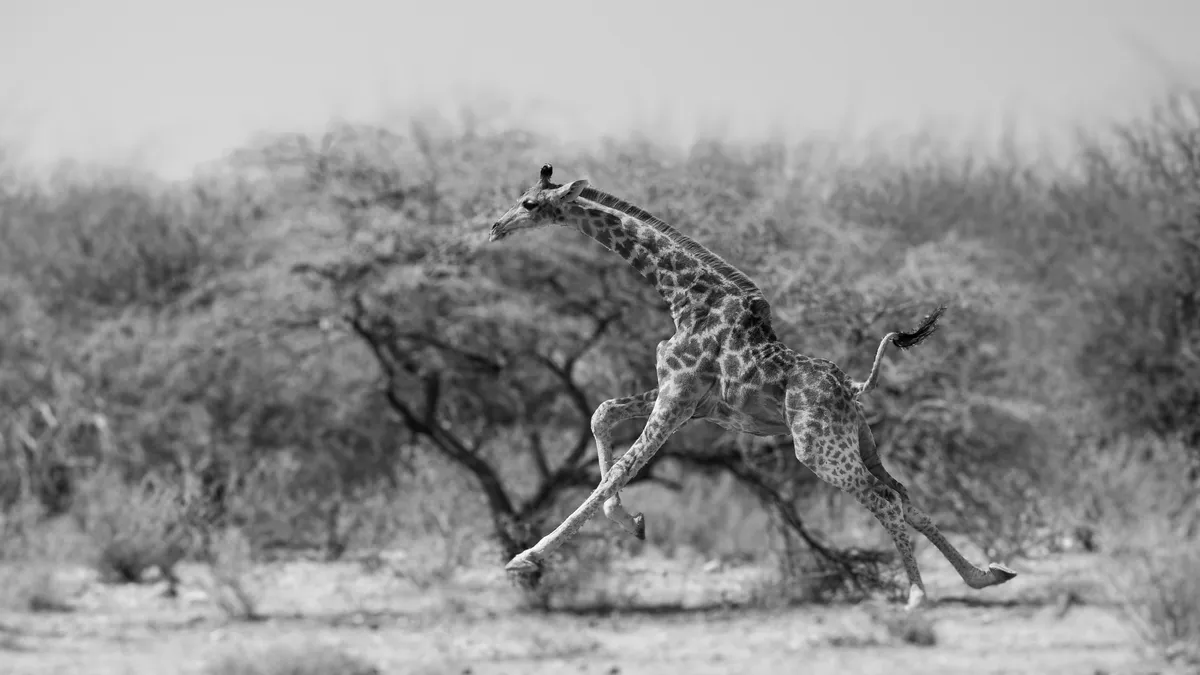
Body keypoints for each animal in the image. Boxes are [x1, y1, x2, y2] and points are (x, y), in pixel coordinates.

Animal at [487, 164, 1016, 610]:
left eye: (530, 203)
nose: (496, 227)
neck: (684, 299)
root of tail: (854, 387)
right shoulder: (688, 401)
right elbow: (602, 414)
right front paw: (631, 522)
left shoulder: (678, 398)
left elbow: (621, 467)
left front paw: (526, 557)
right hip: (858, 443)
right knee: (904, 497)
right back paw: (984, 575)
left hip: (819, 450)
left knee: (886, 502)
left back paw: (918, 596)